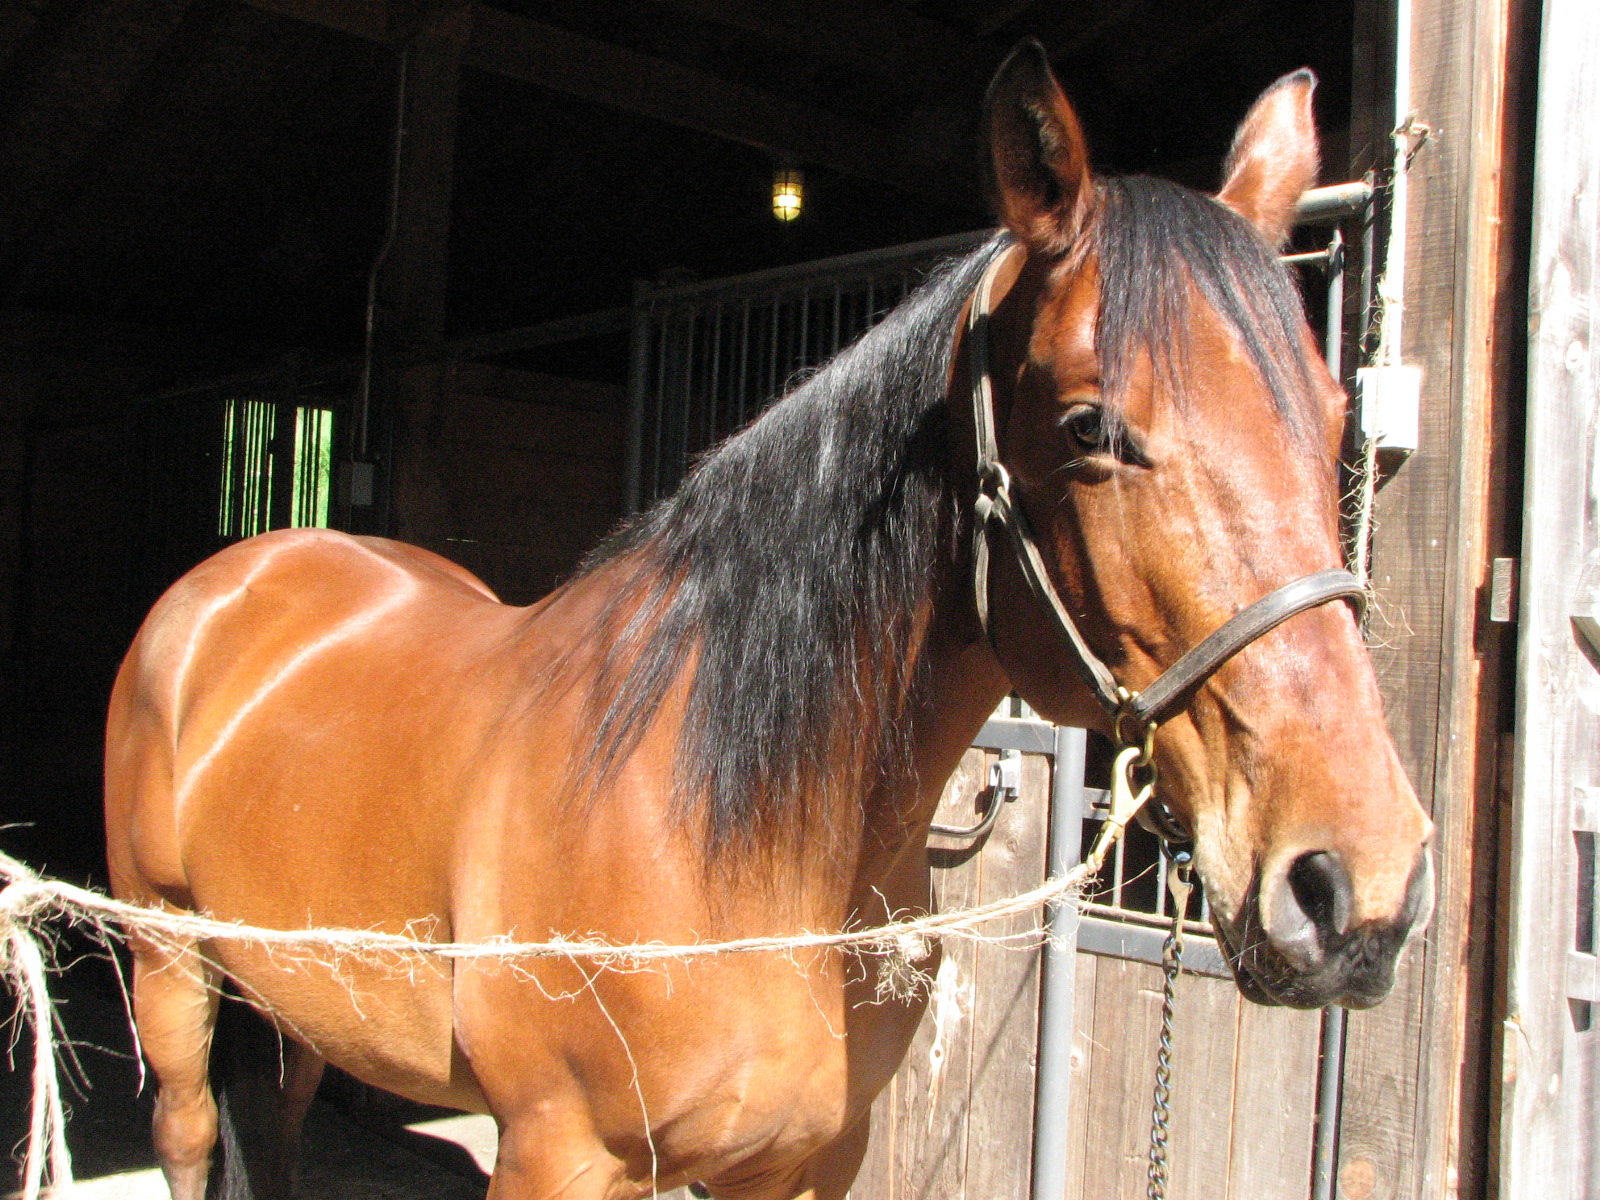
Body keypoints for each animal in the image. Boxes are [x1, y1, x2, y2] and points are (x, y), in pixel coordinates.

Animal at [104, 41, 1433, 1200]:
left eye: (1331, 418)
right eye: (1088, 427)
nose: (1356, 886)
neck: (735, 832)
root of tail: (242, 573)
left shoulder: (804, 1166)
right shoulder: (557, 1156)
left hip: (294, 1001)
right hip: (167, 965)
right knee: (186, 1136)